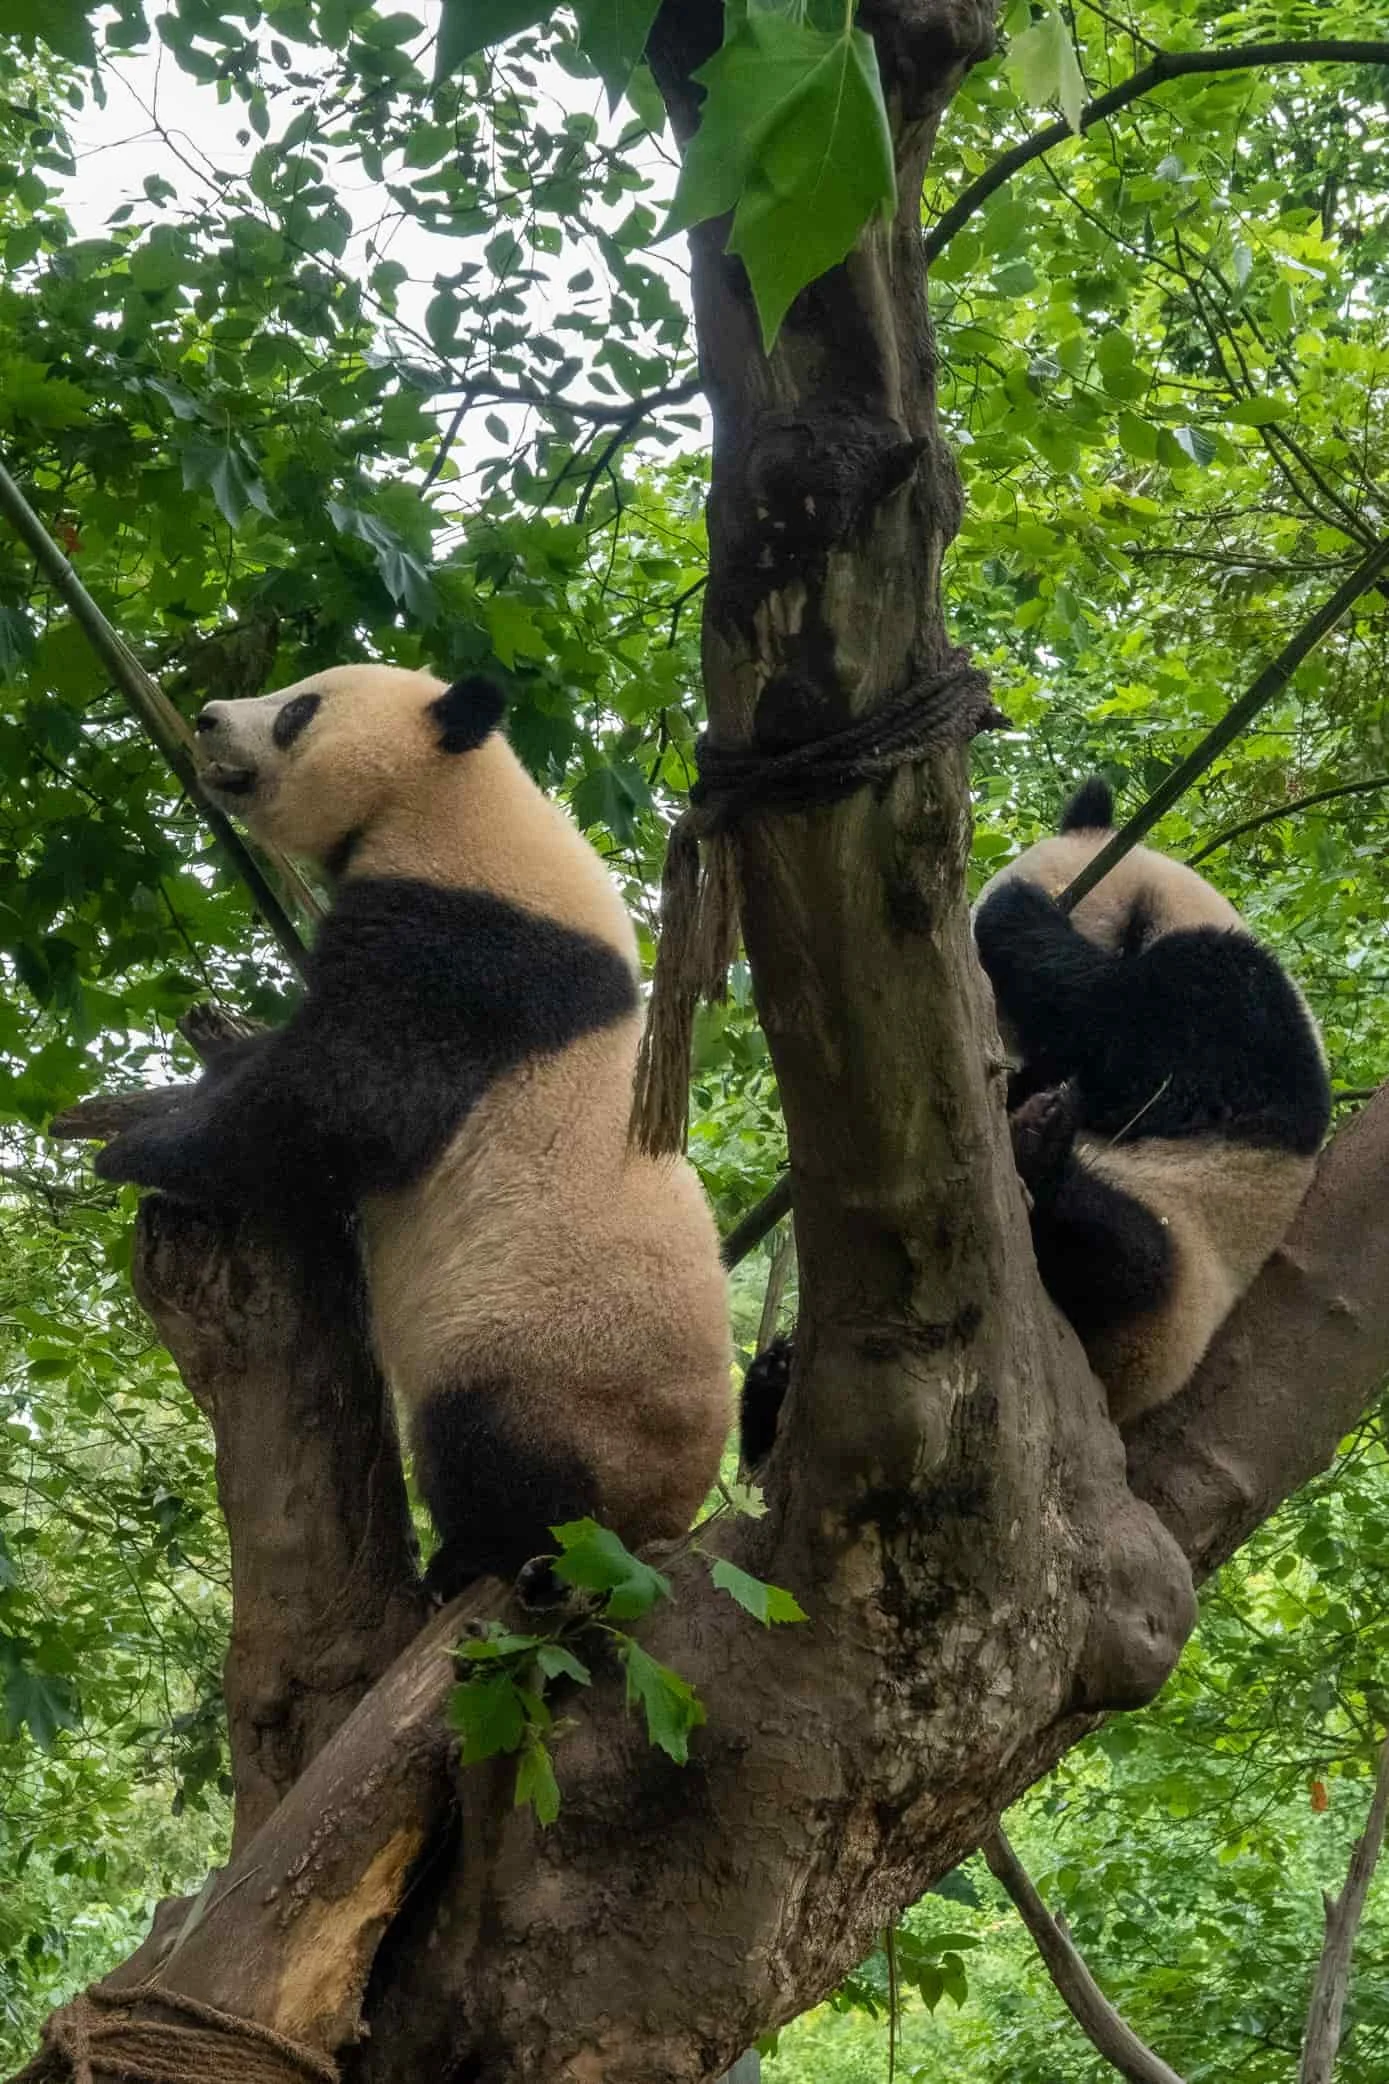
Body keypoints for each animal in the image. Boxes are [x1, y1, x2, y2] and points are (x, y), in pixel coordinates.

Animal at [94, 664, 732, 1598]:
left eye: (297, 710)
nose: (207, 717)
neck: (450, 796)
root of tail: (662, 1522)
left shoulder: (469, 952)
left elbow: (345, 1096)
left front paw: (136, 1147)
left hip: (550, 1362)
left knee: (501, 1454)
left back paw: (474, 1558)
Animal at [971, 775, 1331, 1424]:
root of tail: (1120, 1393)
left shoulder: (1240, 1003)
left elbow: (1132, 1052)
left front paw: (1011, 911)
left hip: (1179, 1274)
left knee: (1125, 1254)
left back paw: (1037, 1151)